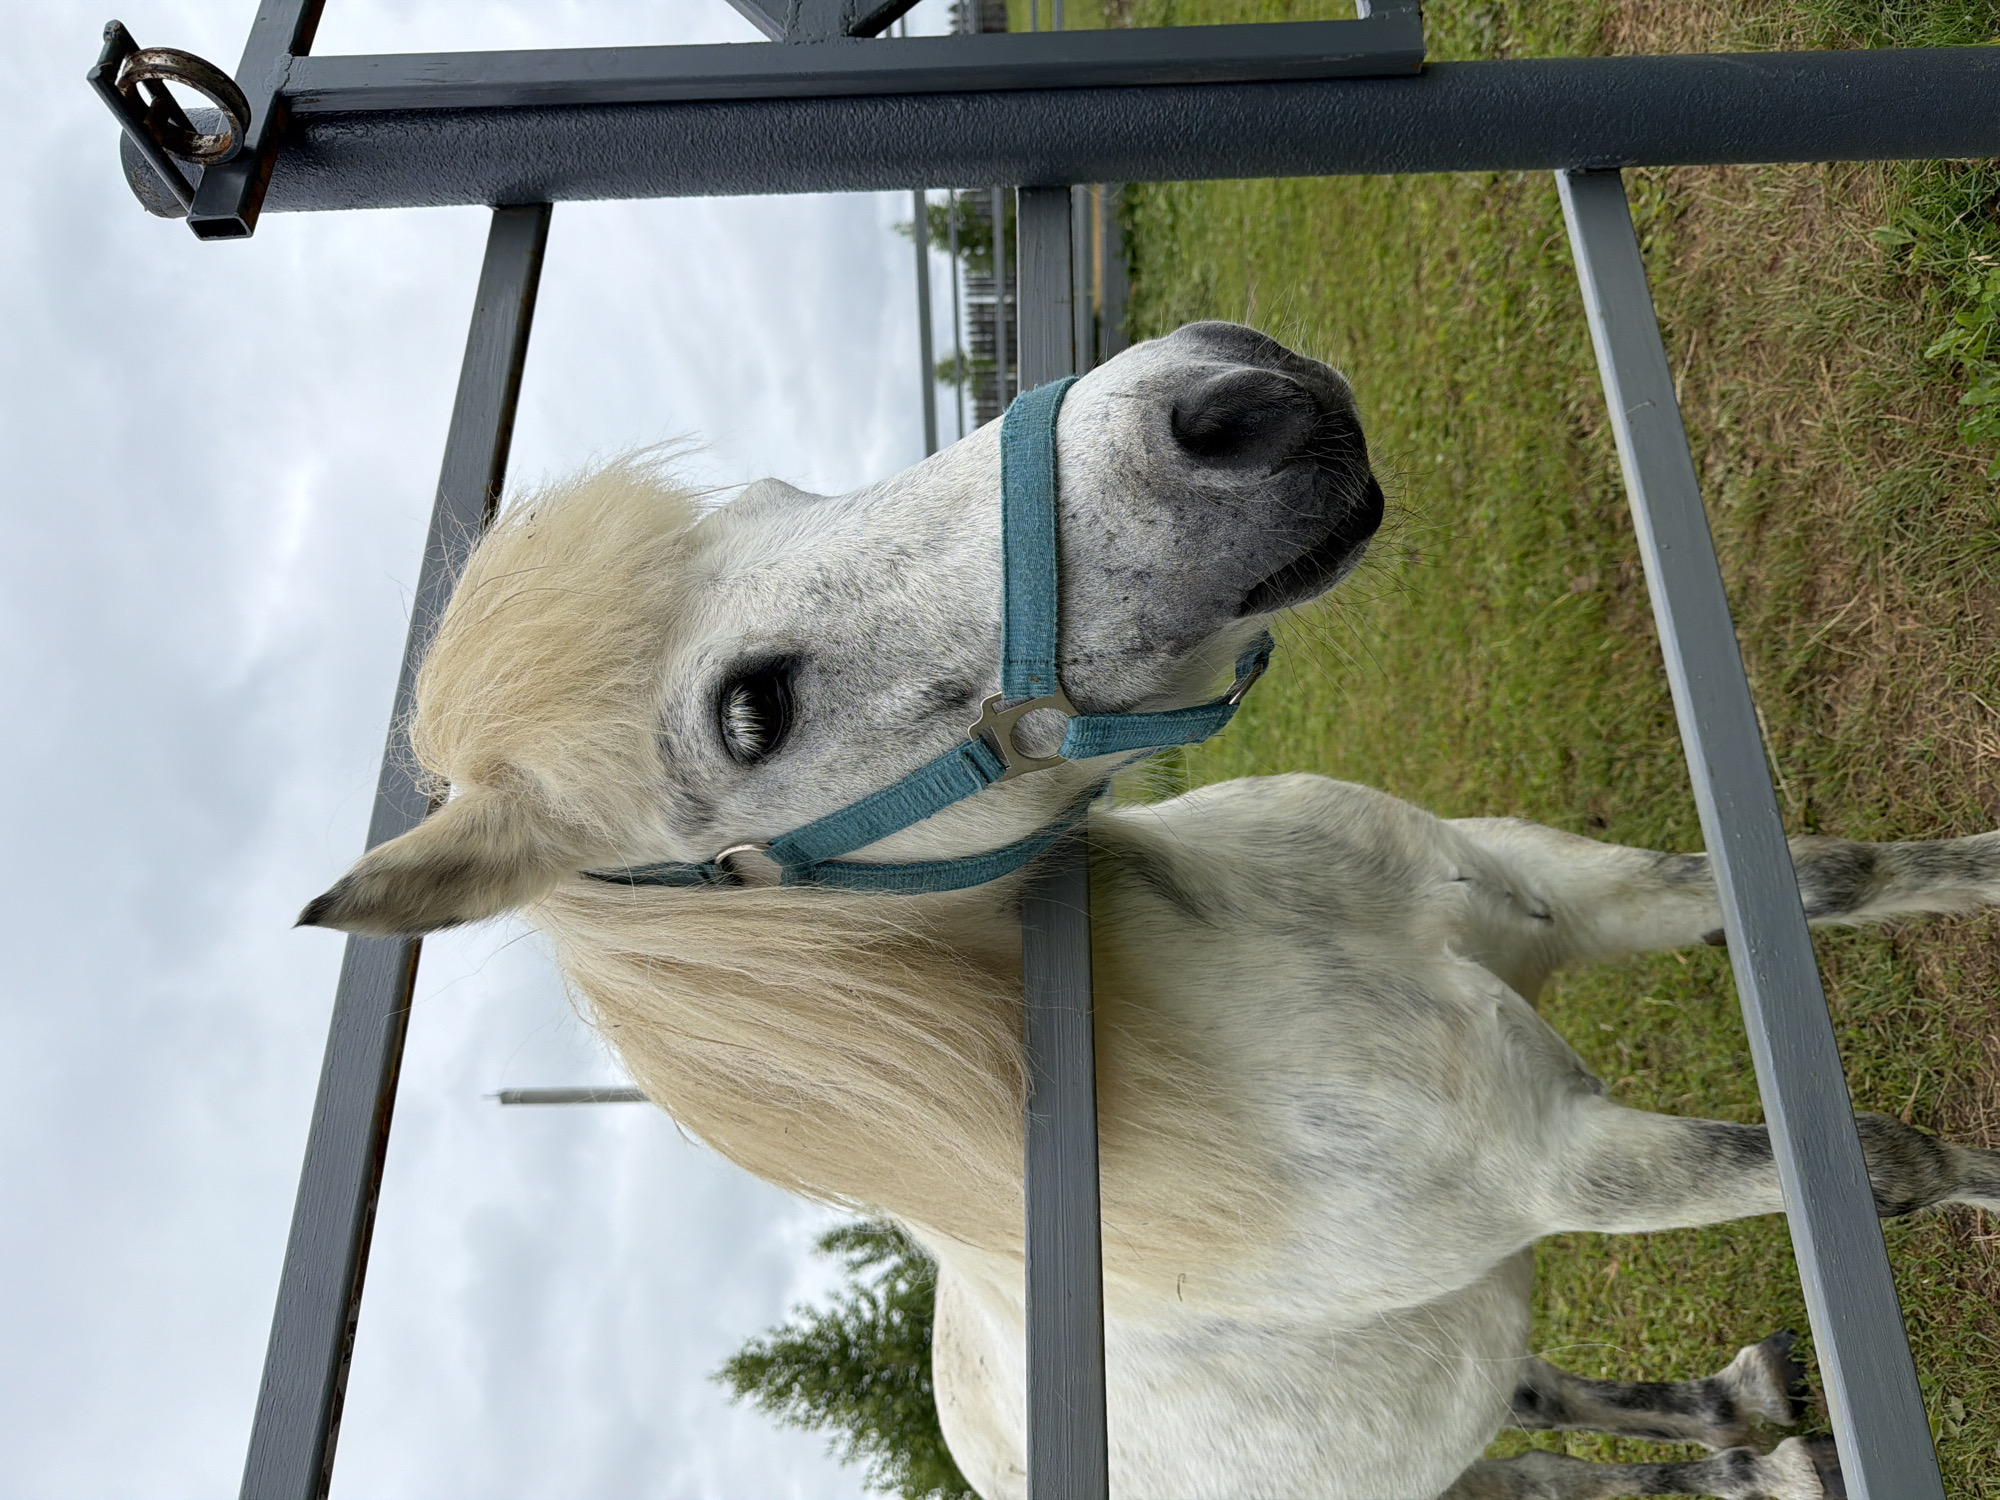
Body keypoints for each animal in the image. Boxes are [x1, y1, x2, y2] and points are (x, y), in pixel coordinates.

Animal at [302, 322, 2000, 1499]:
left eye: (778, 492)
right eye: (752, 714)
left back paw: (1753, 1418)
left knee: (1543, 1392)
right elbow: (1888, 1163)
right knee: (1551, 1467)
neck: (1280, 961)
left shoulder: (1560, 895)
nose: (1228, 406)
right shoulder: (1570, 1163)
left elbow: (1838, 878)